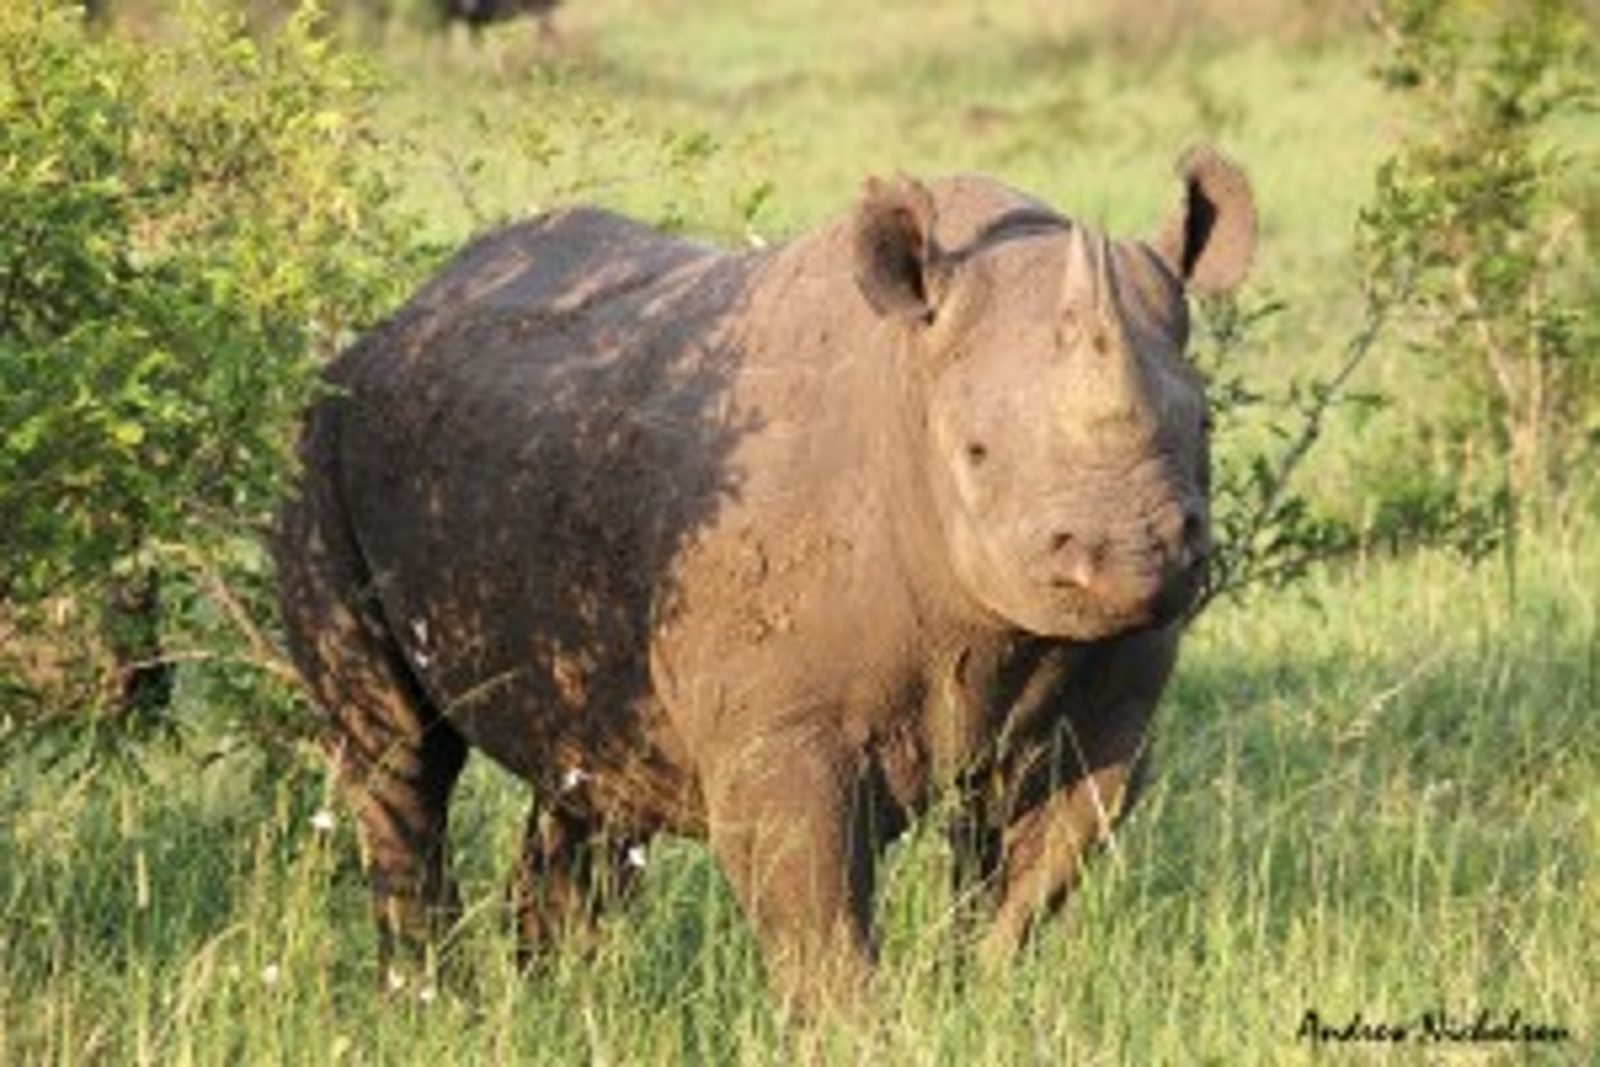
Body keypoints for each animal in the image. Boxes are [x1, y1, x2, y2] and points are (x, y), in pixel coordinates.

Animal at [275, 146, 1255, 1006]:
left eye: (1204, 427)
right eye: (976, 451)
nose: (1128, 556)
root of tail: (398, 316)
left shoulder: (1101, 715)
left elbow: (1024, 888)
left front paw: (979, 1006)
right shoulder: (782, 731)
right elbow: (819, 918)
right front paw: (859, 1033)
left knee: (585, 776)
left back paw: (547, 1000)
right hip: (324, 440)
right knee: (398, 751)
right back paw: (430, 1000)